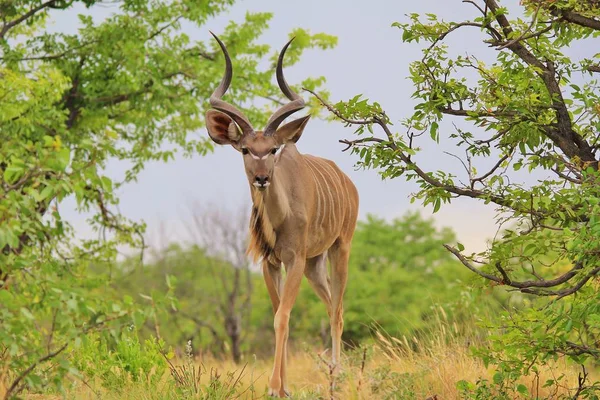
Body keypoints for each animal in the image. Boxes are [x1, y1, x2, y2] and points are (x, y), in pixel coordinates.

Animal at [204, 33, 358, 396]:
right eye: (245, 150)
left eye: (273, 149)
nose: (262, 177)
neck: (278, 220)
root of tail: (348, 182)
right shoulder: (271, 262)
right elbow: (279, 312)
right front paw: (283, 386)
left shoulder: (294, 259)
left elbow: (282, 317)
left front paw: (276, 387)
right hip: (315, 264)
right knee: (329, 304)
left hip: (339, 248)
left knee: (338, 311)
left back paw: (335, 382)